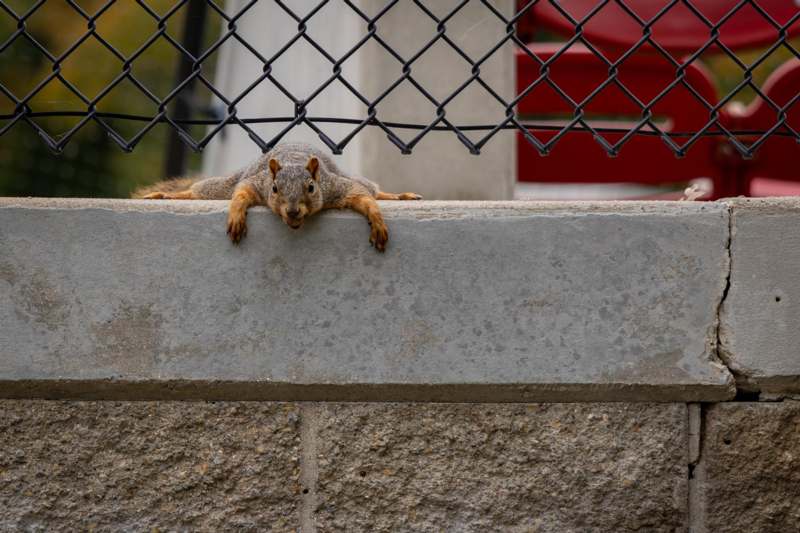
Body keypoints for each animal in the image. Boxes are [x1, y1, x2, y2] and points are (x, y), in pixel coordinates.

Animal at [133, 142, 422, 252]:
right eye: (274, 189)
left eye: (311, 188)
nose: (292, 212)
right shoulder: (257, 182)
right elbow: (241, 193)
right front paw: (236, 216)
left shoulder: (334, 186)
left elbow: (361, 195)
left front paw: (377, 221)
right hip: (221, 186)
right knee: (201, 191)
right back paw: (165, 195)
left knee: (372, 188)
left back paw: (399, 196)